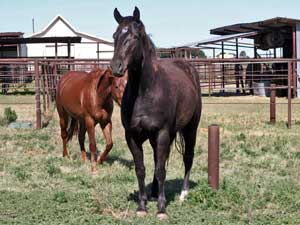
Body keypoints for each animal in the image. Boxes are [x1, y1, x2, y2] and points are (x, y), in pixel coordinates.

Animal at [110, 6, 202, 218]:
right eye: (115, 36)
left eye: (134, 36)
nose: (116, 67)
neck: (144, 91)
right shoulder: (133, 136)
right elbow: (141, 169)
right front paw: (142, 206)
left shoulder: (162, 133)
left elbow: (160, 170)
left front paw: (161, 209)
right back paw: (152, 192)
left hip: (190, 129)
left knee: (188, 158)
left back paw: (183, 194)